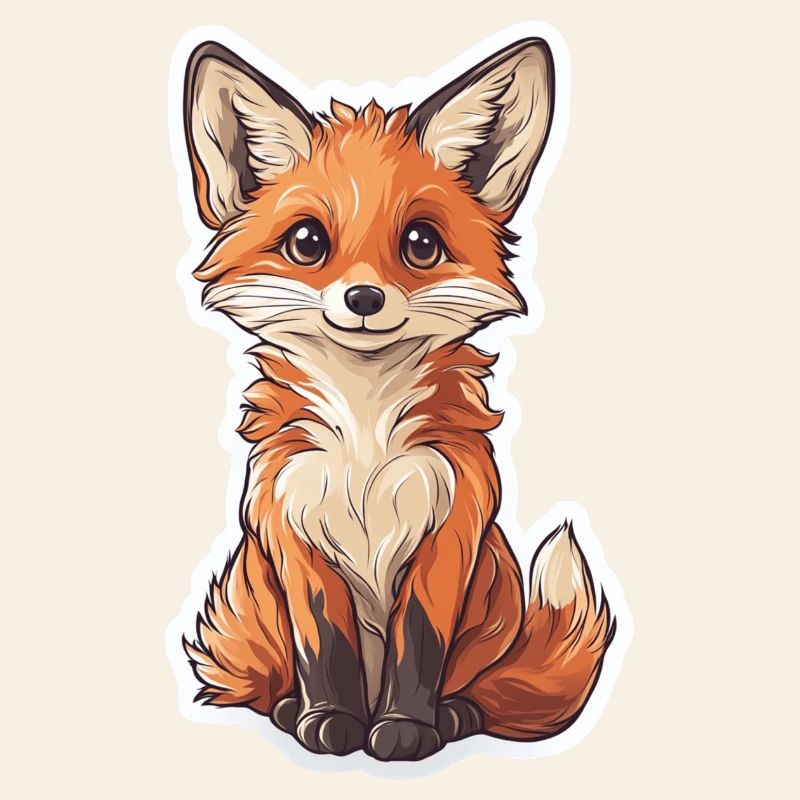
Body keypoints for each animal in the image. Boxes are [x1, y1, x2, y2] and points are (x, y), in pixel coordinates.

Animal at [178, 36, 616, 762]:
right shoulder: (292, 527)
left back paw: (455, 715)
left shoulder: (450, 527)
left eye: (420, 244)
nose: (363, 298)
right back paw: (291, 708)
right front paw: (331, 720)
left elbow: (418, 647)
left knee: (484, 693)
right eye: (308, 242)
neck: (364, 433)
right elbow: (326, 646)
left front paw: (405, 729)